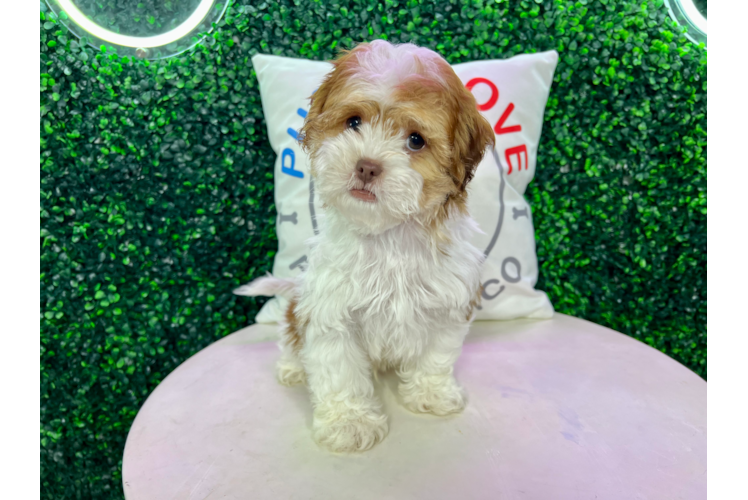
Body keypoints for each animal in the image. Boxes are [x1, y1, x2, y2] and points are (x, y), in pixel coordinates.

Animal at [240, 39, 494, 454]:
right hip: (298, 308)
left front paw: (431, 393)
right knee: (291, 331)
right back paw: (293, 368)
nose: (366, 166)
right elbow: (339, 370)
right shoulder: (330, 311)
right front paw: (349, 423)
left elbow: (436, 355)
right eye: (354, 122)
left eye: (415, 140)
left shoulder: (449, 302)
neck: (388, 235)